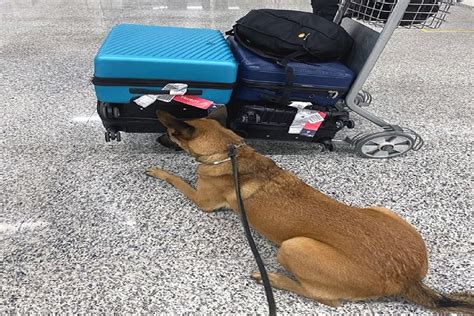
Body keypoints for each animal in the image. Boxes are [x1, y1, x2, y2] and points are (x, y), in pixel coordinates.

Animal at [146, 110, 472, 312]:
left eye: (168, 132)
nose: (155, 139)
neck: (228, 150)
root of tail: (407, 278)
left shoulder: (203, 201)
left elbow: (176, 178)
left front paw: (159, 171)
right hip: (382, 210)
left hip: (293, 246)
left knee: (327, 300)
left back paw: (272, 278)